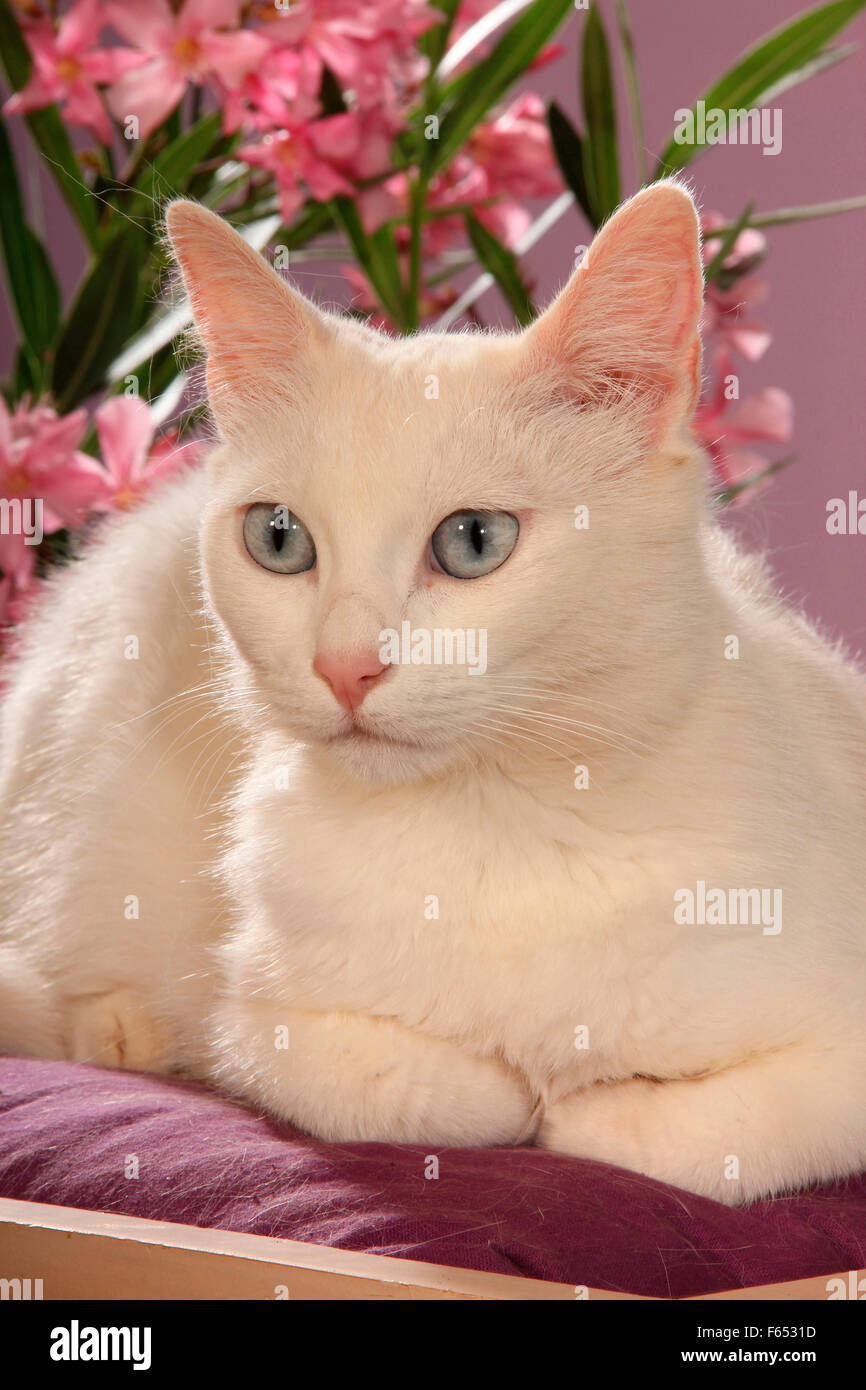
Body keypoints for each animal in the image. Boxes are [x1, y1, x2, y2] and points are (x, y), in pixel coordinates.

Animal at [1, 187, 866, 1206]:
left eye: (473, 540)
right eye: (279, 538)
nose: (344, 666)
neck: (499, 821)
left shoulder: (837, 1055)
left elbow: (679, 1135)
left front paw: (586, 1100)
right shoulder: (264, 1019)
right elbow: (428, 1089)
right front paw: (520, 1088)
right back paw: (120, 1028)